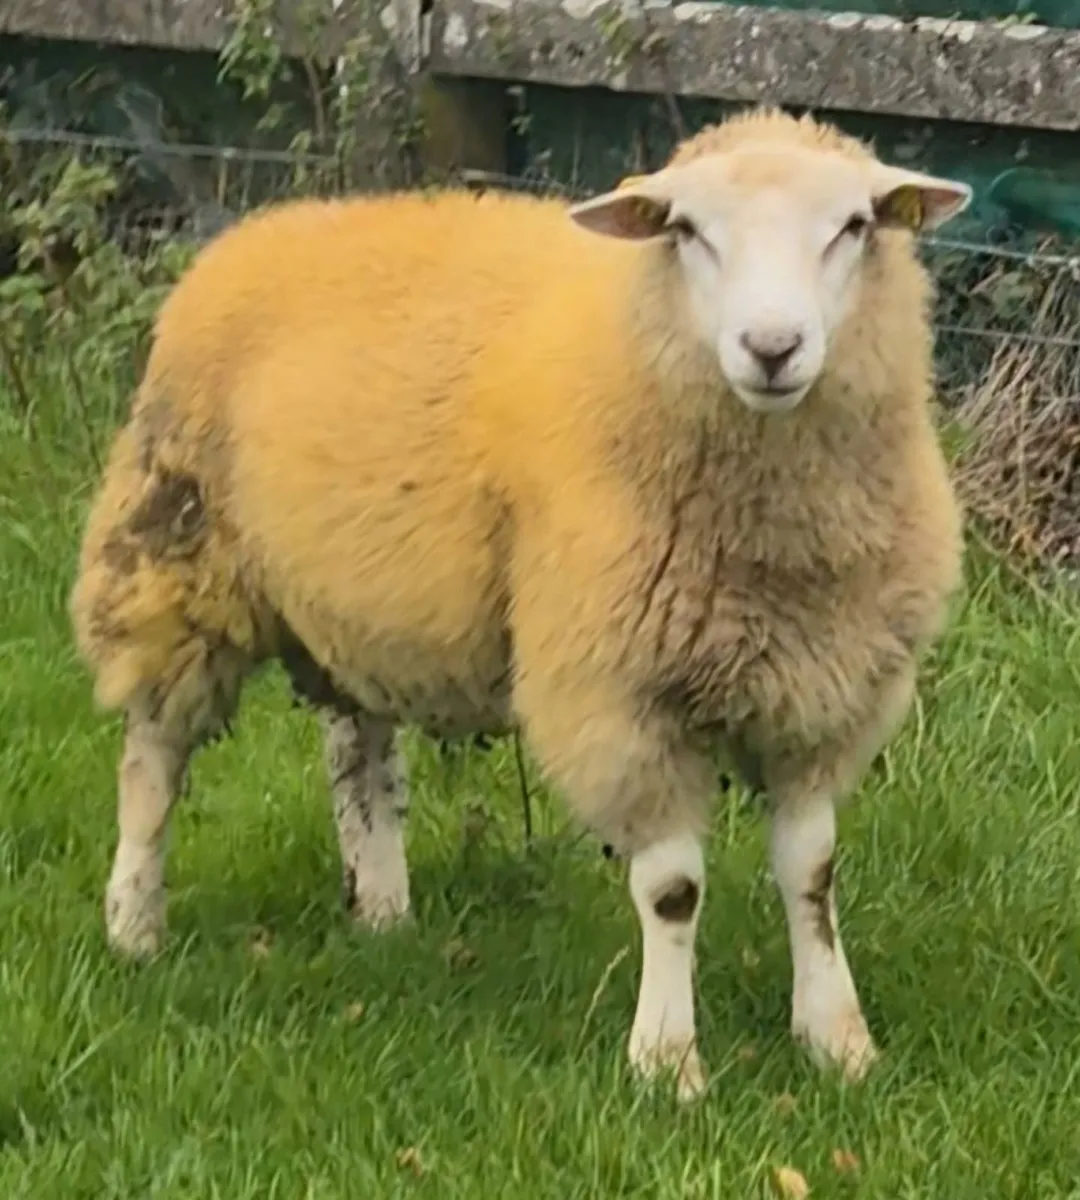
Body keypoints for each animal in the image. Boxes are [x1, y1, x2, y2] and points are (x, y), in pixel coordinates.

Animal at [70, 105, 971, 1101]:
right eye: (687, 231)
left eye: (852, 227)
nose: (772, 350)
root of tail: (272, 223)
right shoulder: (618, 693)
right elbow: (672, 890)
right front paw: (667, 1063)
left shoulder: (825, 690)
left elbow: (811, 875)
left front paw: (838, 1043)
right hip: (177, 553)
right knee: (153, 757)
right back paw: (134, 924)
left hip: (348, 598)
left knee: (359, 755)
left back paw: (382, 910)